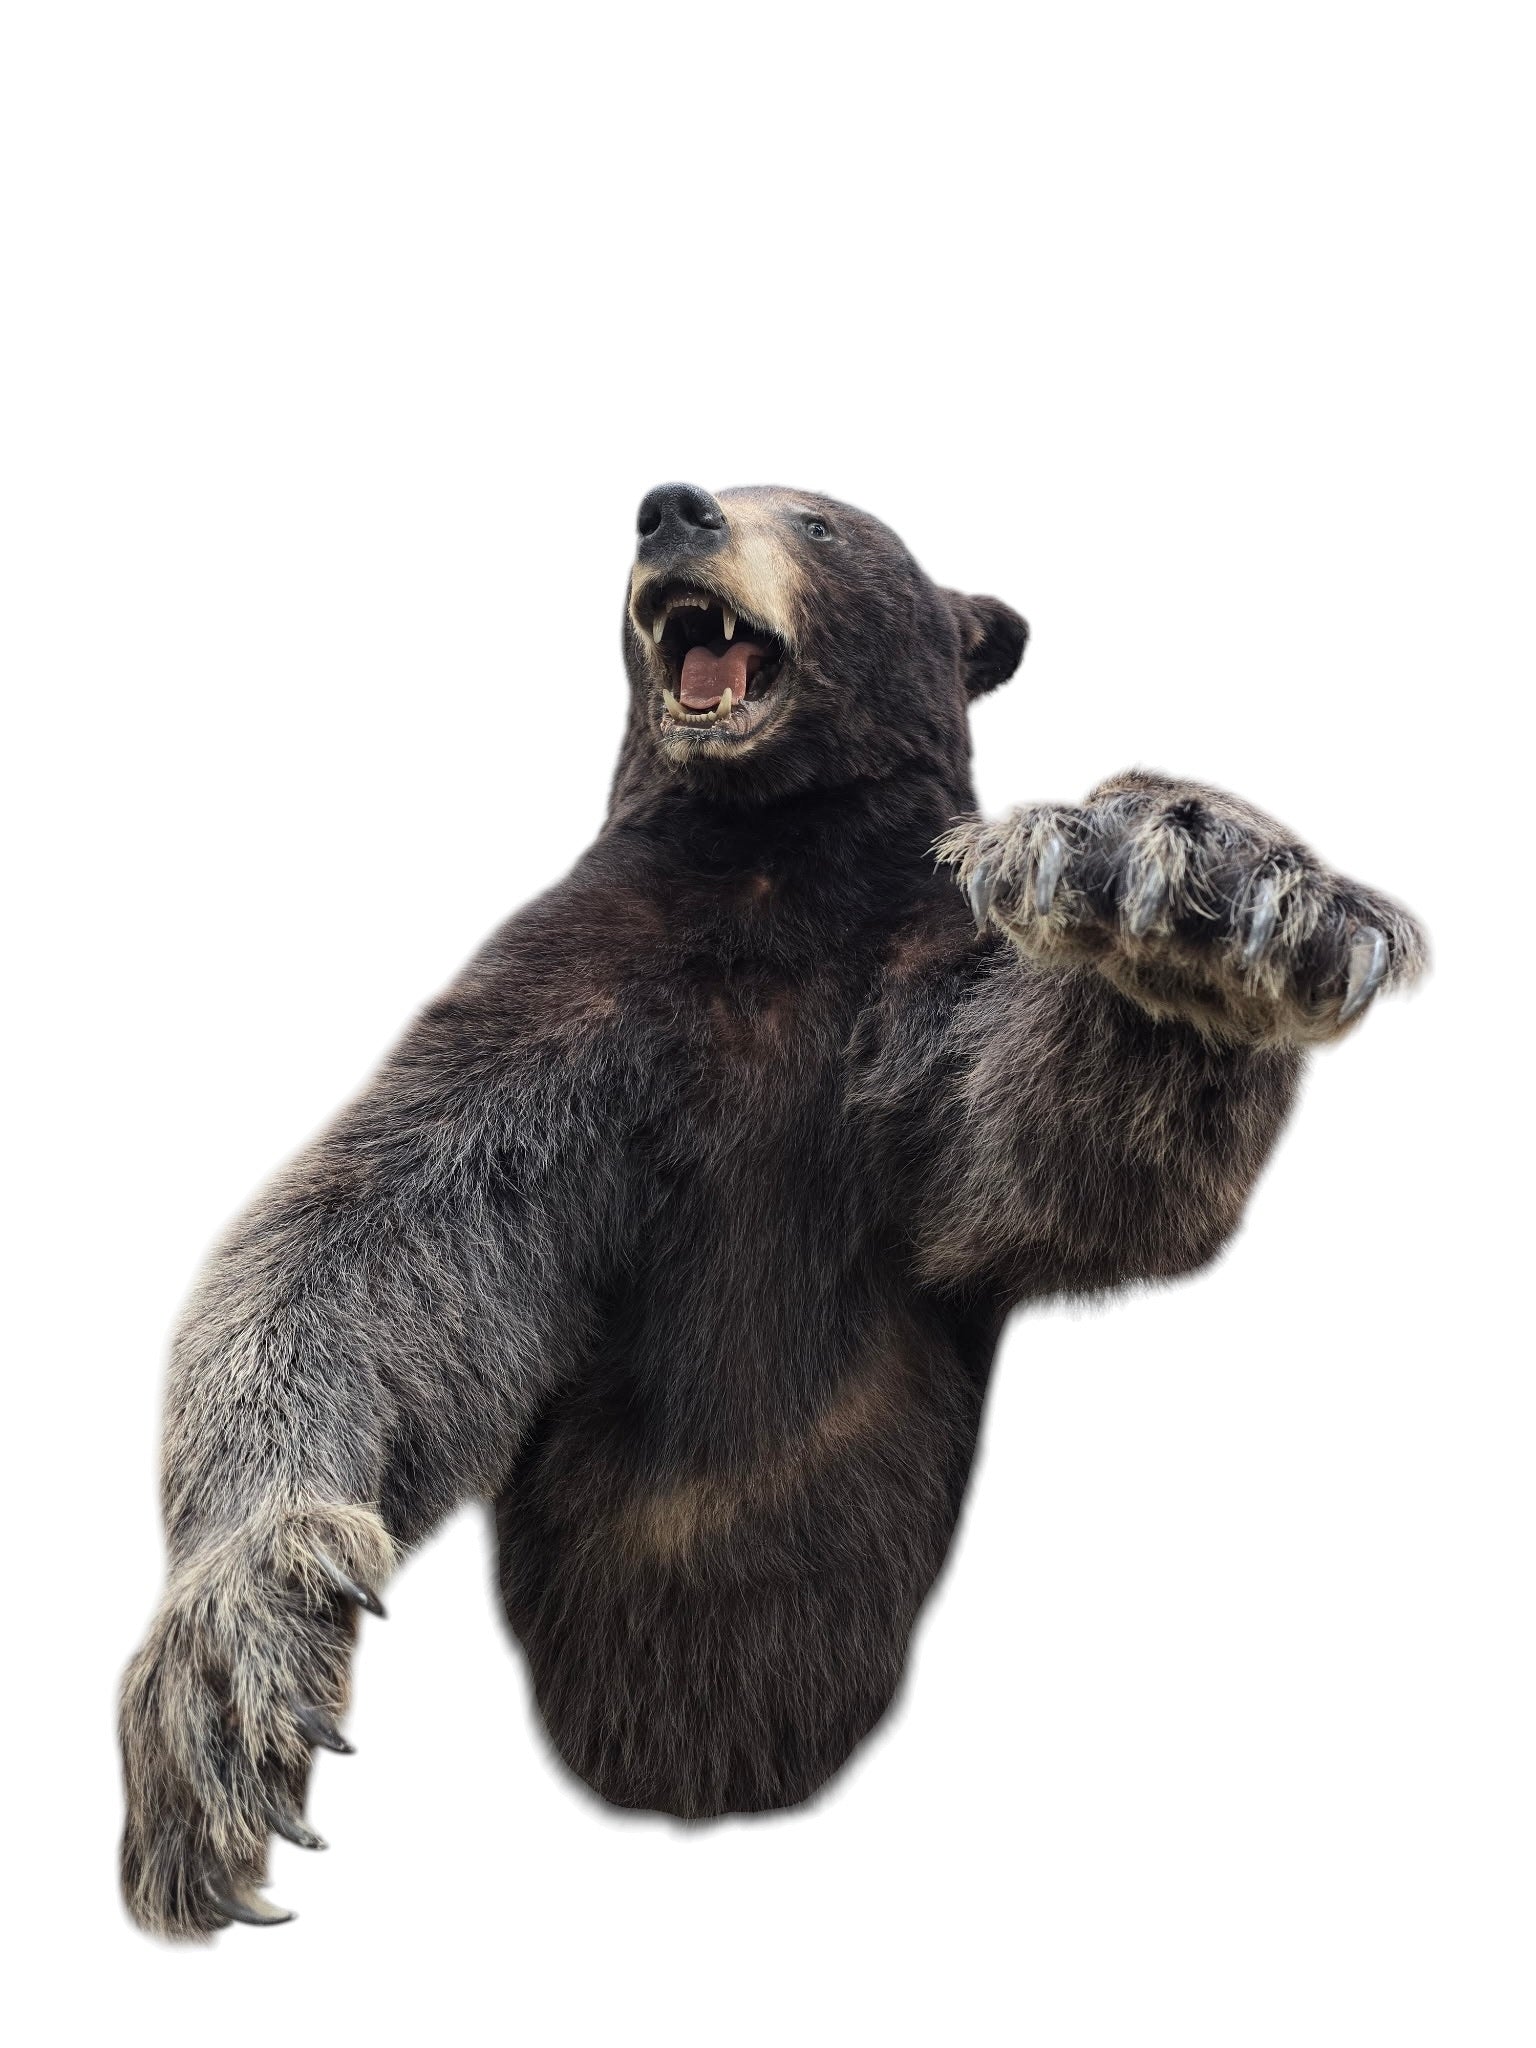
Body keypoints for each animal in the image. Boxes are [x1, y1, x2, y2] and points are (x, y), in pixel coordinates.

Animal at [119, 481, 1426, 1936]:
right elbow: (371, 1237)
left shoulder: (900, 998)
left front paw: (1190, 890)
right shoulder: (580, 992)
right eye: (721, 497)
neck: (768, 850)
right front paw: (236, 1667)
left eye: (818, 520)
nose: (672, 509)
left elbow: (1038, 1143)